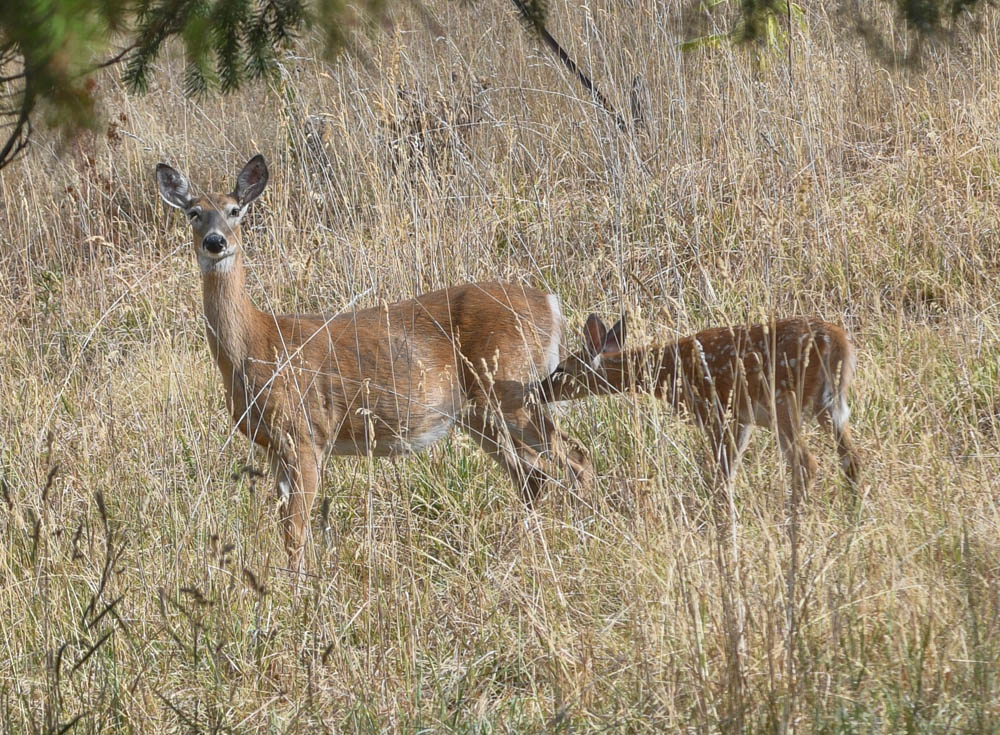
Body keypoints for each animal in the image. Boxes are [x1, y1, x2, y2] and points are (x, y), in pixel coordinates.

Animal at [155, 155, 592, 574]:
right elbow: (285, 525)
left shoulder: (306, 434)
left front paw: (297, 588)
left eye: (235, 210)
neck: (257, 344)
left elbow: (296, 530)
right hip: (481, 413)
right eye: (193, 212)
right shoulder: (275, 446)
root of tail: (552, 304)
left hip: (510, 389)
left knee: (573, 457)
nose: (215, 242)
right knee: (532, 477)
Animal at [539, 314, 860, 494]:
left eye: (562, 369)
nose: (540, 390)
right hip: (829, 406)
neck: (666, 371)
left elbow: (722, 474)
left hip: (784, 400)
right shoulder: (741, 419)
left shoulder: (716, 411)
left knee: (807, 463)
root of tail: (840, 342)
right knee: (851, 460)